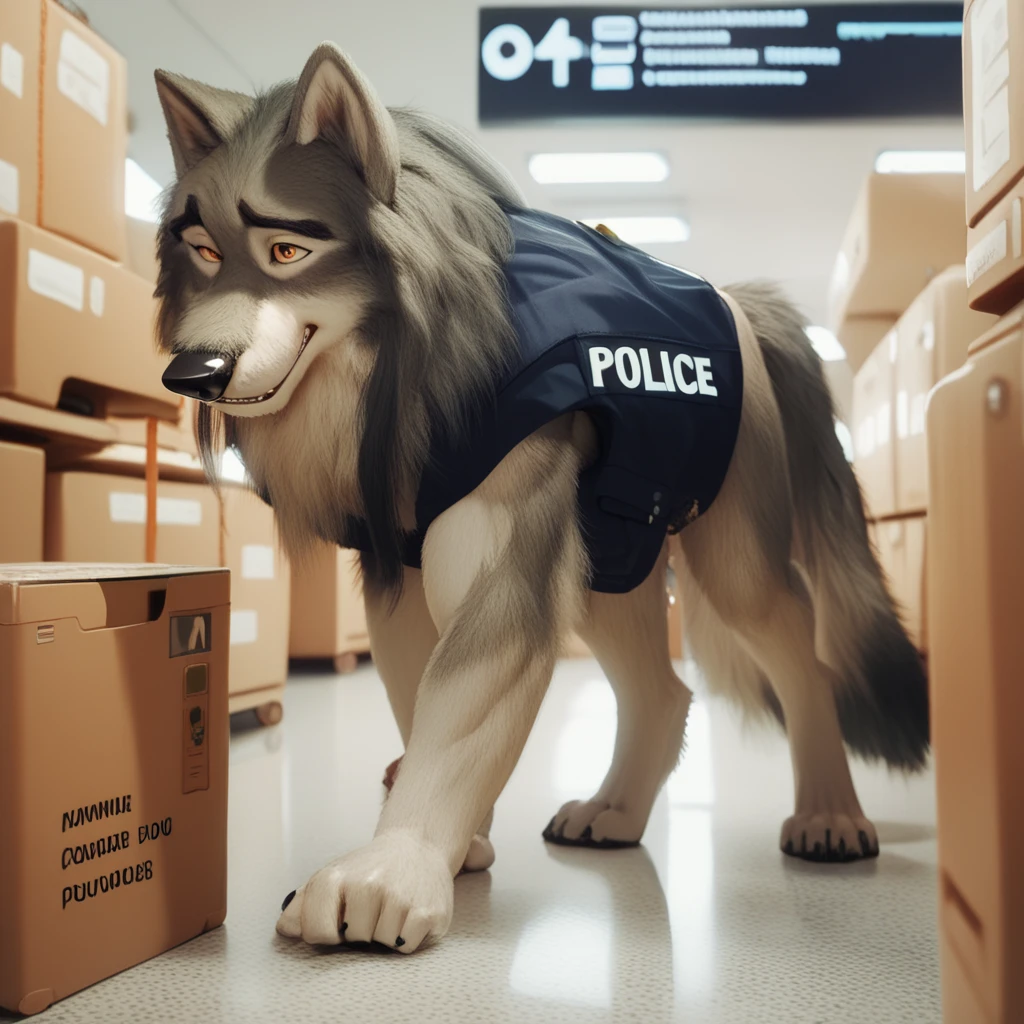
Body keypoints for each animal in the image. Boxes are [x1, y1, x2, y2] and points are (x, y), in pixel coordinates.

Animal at [149, 39, 929, 950]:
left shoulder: (496, 557)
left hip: (734, 558)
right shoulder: (400, 567)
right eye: (204, 252)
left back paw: (831, 816)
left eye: (285, 252)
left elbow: (461, 707)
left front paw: (392, 871)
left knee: (802, 652)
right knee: (663, 690)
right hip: (610, 559)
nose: (190, 373)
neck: (394, 373)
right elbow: (421, 706)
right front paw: (458, 846)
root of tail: (737, 299)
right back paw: (615, 812)